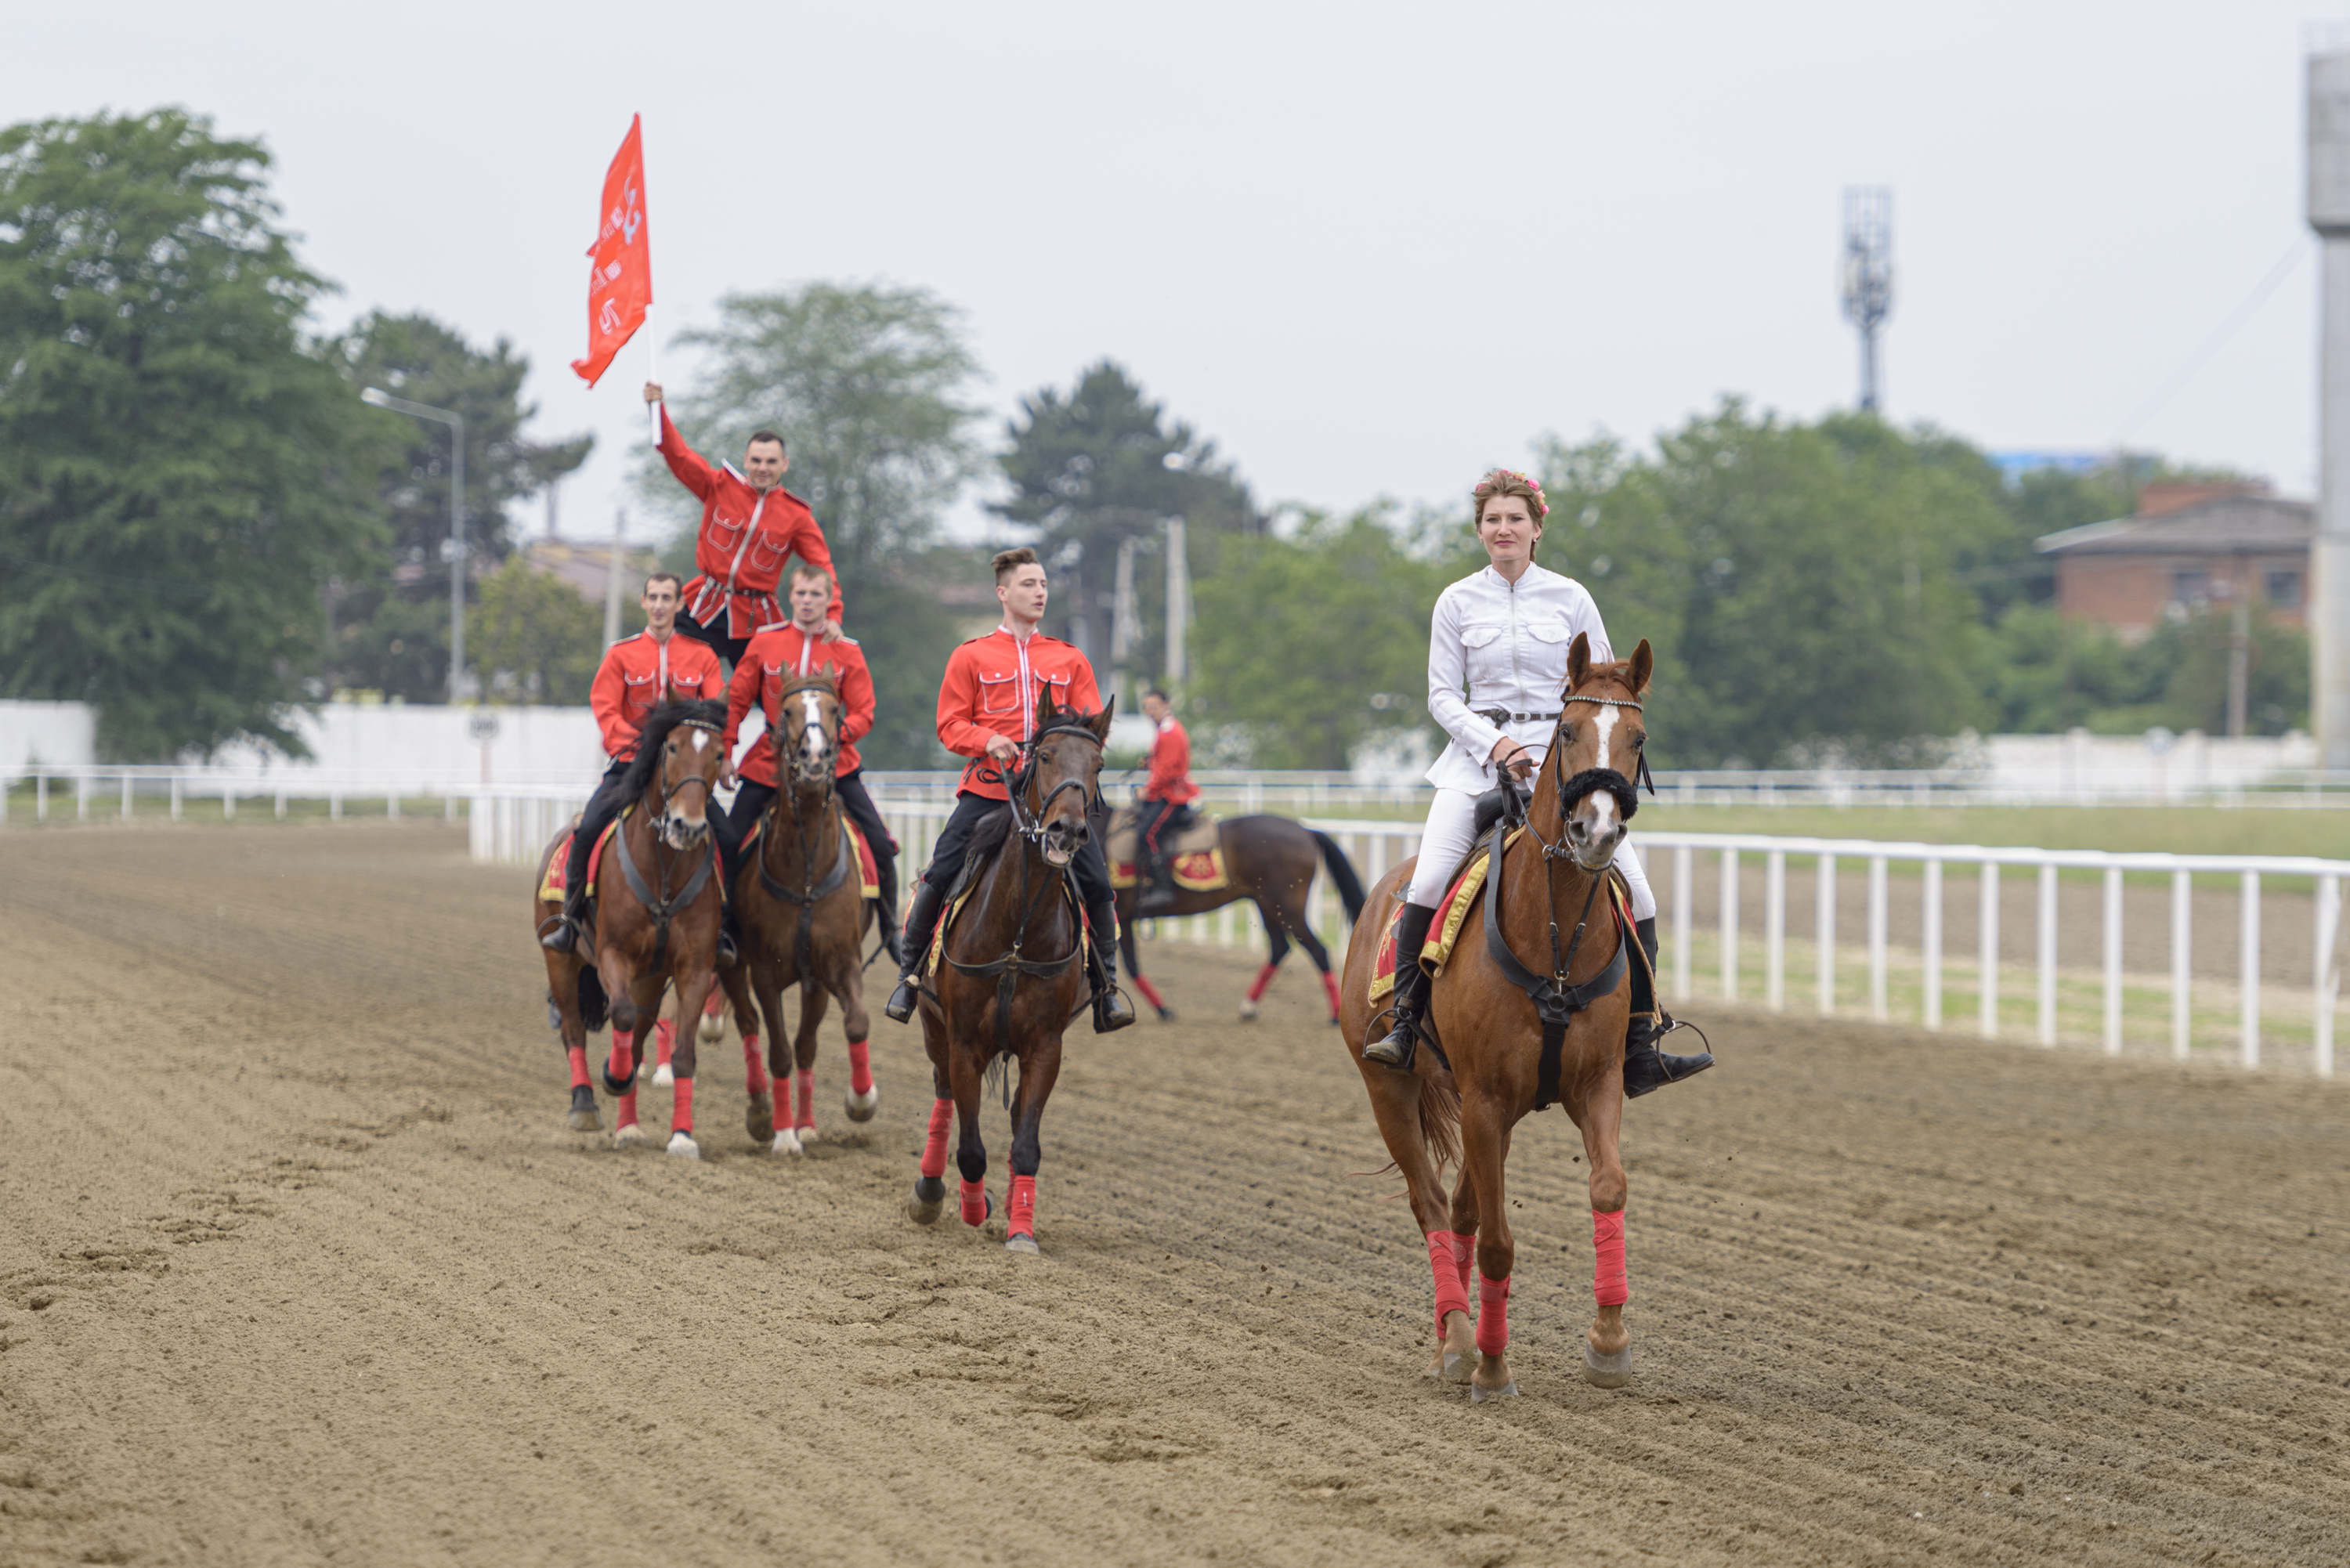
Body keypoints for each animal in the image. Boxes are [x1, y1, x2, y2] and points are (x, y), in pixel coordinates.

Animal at [538, 695, 728, 1151]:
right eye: (672, 747)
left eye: (719, 754)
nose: (687, 825)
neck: (663, 873)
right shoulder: (612, 953)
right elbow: (621, 1015)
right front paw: (613, 1074)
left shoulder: (693, 967)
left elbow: (683, 1053)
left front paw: (682, 1136)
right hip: (562, 962)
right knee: (573, 1029)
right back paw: (586, 1103)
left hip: (651, 978)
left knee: (640, 1036)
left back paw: (628, 1124)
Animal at [714, 667, 884, 1161]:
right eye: (787, 710)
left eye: (834, 709)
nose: (814, 757)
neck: (806, 873)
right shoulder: (766, 973)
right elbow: (778, 1051)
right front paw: (783, 1134)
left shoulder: (837, 964)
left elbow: (852, 1025)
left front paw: (860, 1101)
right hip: (732, 966)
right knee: (750, 1026)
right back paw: (761, 1111)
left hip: (814, 983)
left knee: (807, 1044)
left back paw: (806, 1122)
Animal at [907, 691, 1109, 1259]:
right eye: (1044, 755)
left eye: (1098, 764)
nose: (1068, 830)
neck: (1017, 934)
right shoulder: (964, 1042)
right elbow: (971, 1149)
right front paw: (975, 1208)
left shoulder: (1045, 1046)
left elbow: (1026, 1143)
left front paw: (1021, 1232)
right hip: (934, 1028)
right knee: (944, 1097)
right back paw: (930, 1192)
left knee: (1015, 1113)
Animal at [1109, 822, 1372, 1029]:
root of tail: (1305, 831)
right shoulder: (1120, 915)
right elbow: (1127, 964)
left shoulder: (1120, 913)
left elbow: (1129, 965)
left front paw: (1162, 1010)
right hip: (1267, 904)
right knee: (1280, 947)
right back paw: (1249, 1007)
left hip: (1286, 906)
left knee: (1317, 949)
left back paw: (1334, 1014)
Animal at [1344, 630, 1654, 1400]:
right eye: (1568, 731)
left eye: (1637, 738)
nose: (1596, 829)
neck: (1554, 939)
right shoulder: (1484, 1099)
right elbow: (1496, 1242)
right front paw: (1491, 1365)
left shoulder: (1595, 1083)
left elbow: (1608, 1187)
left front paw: (1609, 1343)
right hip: (1390, 1090)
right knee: (1432, 1207)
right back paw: (1457, 1340)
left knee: (1457, 1209)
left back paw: (1451, 1340)